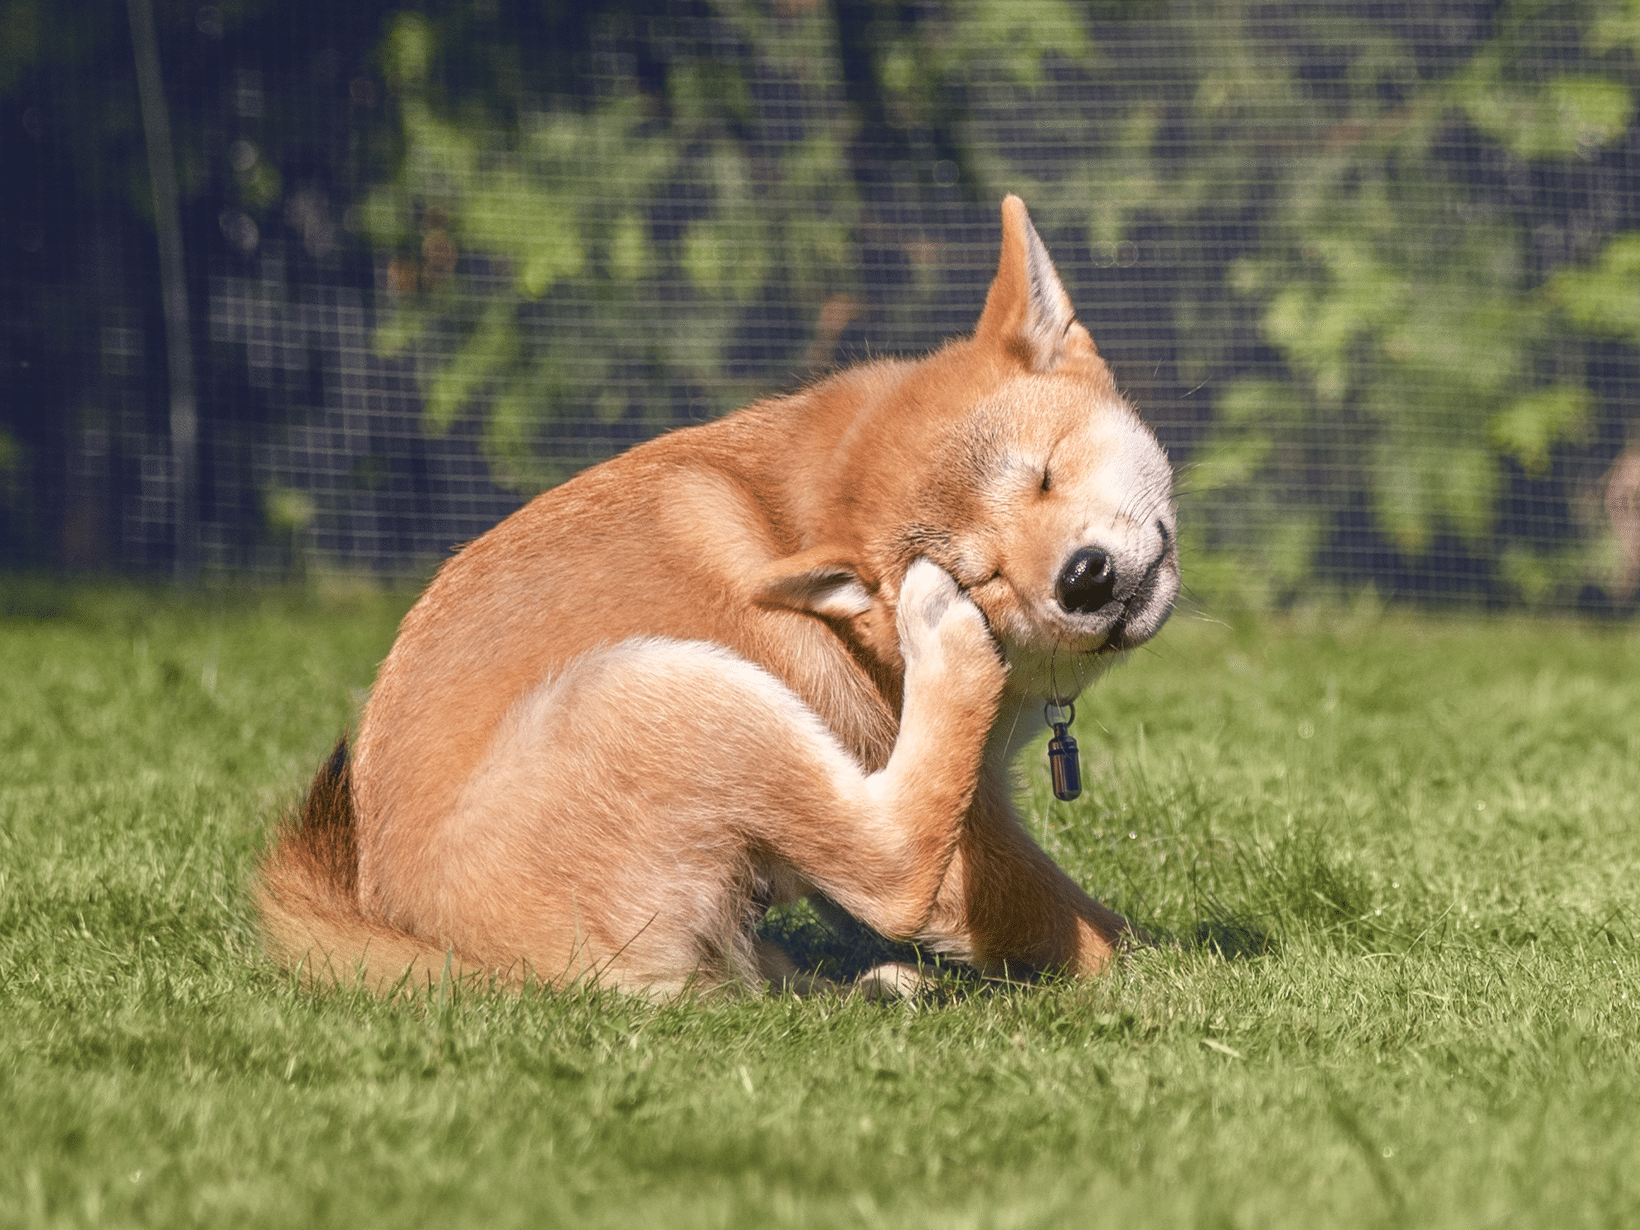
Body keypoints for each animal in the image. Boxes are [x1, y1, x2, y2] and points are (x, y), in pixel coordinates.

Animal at [255, 197, 1180, 997]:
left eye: (1045, 474)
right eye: (982, 574)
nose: (1084, 579)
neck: (789, 524)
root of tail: (448, 955)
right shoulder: (964, 836)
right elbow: (1076, 927)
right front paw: (1176, 975)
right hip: (670, 689)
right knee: (891, 867)